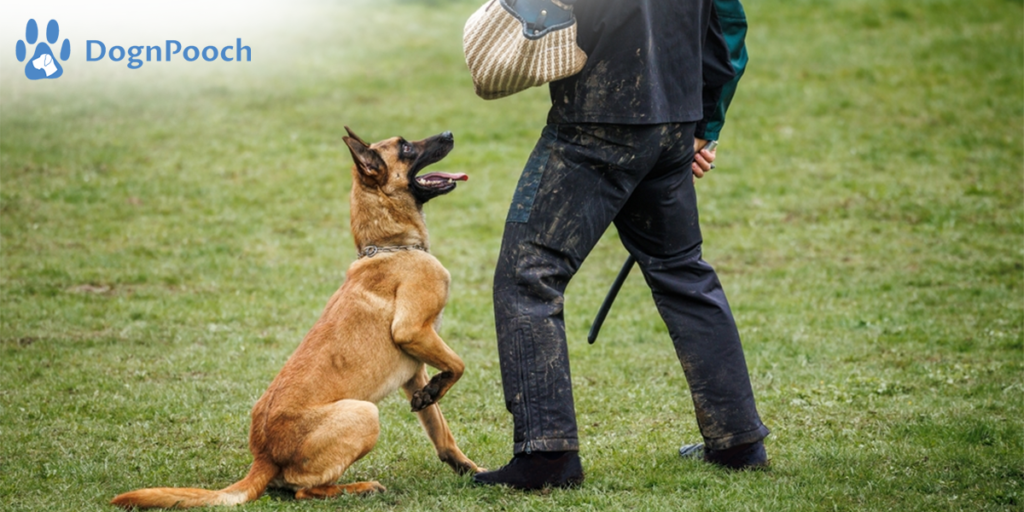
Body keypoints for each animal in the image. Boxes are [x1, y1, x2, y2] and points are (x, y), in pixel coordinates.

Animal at [110, 126, 477, 507]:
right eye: (405, 147)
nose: (449, 133)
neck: (390, 246)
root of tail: (264, 457)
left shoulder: (414, 371)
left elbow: (440, 430)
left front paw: (469, 467)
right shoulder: (412, 331)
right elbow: (458, 364)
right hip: (364, 413)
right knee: (305, 490)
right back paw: (358, 488)